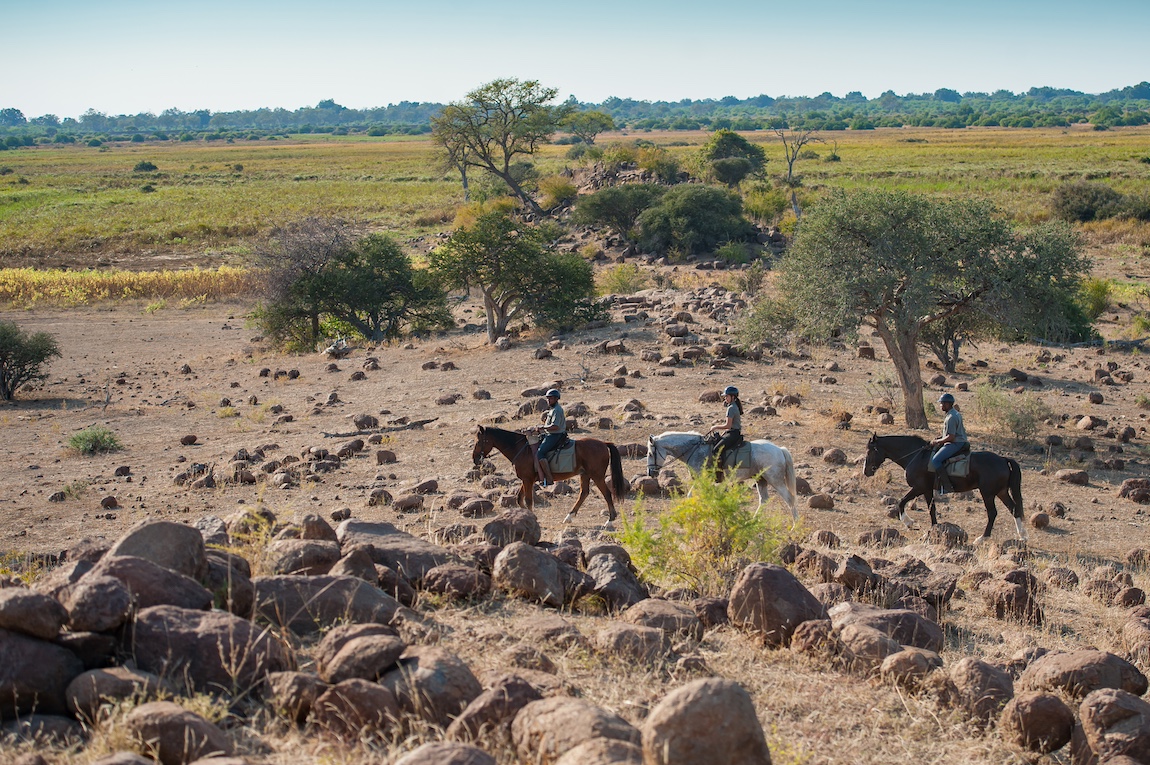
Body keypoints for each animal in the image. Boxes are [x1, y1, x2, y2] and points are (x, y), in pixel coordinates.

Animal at [469, 423, 625, 524]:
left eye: (479, 441)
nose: (475, 459)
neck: (521, 449)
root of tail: (604, 444)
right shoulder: (526, 479)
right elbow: (519, 499)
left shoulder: (527, 479)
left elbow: (528, 500)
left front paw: (531, 518)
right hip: (585, 474)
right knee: (584, 493)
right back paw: (569, 517)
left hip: (597, 476)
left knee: (607, 493)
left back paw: (610, 520)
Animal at [648, 430, 800, 519]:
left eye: (650, 453)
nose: (650, 473)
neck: (695, 449)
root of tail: (780, 449)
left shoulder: (700, 478)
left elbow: (690, 495)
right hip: (761, 479)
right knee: (764, 500)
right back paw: (753, 520)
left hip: (775, 480)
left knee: (790, 499)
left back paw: (795, 526)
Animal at [864, 430, 1025, 542]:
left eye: (870, 451)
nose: (866, 471)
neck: (916, 456)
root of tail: (1003, 459)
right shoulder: (927, 490)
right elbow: (932, 510)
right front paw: (933, 530)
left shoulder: (919, 487)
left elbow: (902, 501)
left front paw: (908, 522)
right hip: (1001, 492)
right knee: (1014, 509)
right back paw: (1023, 536)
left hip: (988, 493)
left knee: (992, 513)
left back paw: (982, 538)